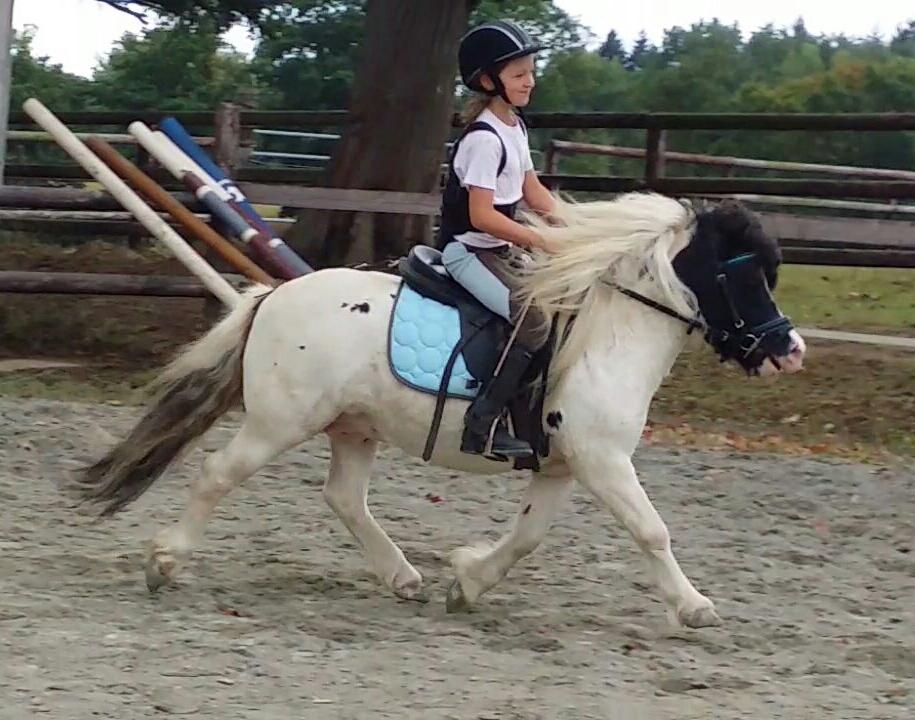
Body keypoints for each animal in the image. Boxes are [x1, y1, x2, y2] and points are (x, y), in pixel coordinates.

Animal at [71, 192, 805, 629]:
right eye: (744, 273)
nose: (789, 351)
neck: (607, 333)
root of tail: (273, 296)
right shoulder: (602, 461)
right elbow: (652, 531)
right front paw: (695, 607)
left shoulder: (564, 466)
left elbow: (529, 537)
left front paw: (469, 582)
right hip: (280, 422)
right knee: (218, 474)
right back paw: (165, 563)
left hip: (354, 426)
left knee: (344, 498)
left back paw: (404, 578)